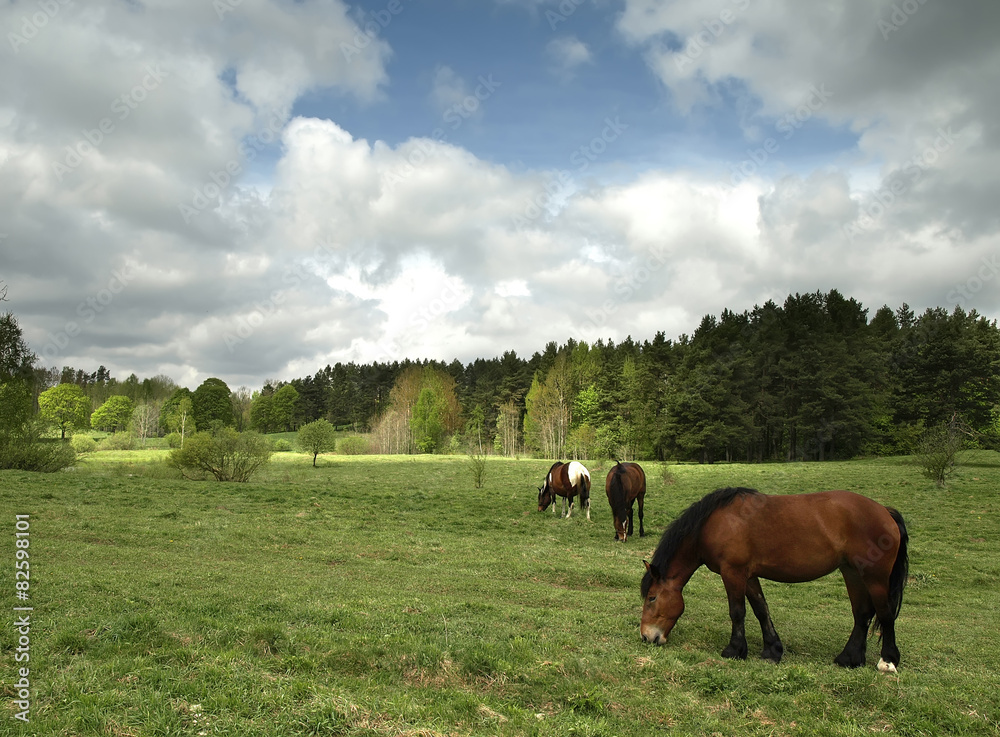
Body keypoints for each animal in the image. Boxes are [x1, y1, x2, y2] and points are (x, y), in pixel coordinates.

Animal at [640, 487, 909, 672]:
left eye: (652, 597)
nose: (646, 637)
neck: (712, 524)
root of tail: (884, 512)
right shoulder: (748, 575)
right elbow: (761, 609)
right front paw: (772, 650)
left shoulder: (733, 572)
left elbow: (737, 611)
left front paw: (734, 650)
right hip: (852, 572)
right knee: (862, 614)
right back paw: (850, 658)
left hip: (875, 577)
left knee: (885, 614)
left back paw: (887, 661)